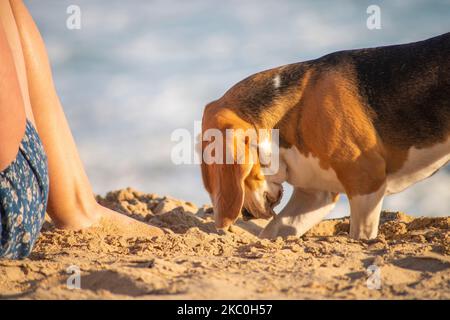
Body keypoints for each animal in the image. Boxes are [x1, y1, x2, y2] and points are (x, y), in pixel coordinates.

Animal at [201, 33, 450, 240]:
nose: (245, 215)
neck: (293, 112)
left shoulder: (366, 181)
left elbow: (359, 235)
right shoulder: (316, 194)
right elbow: (273, 230)